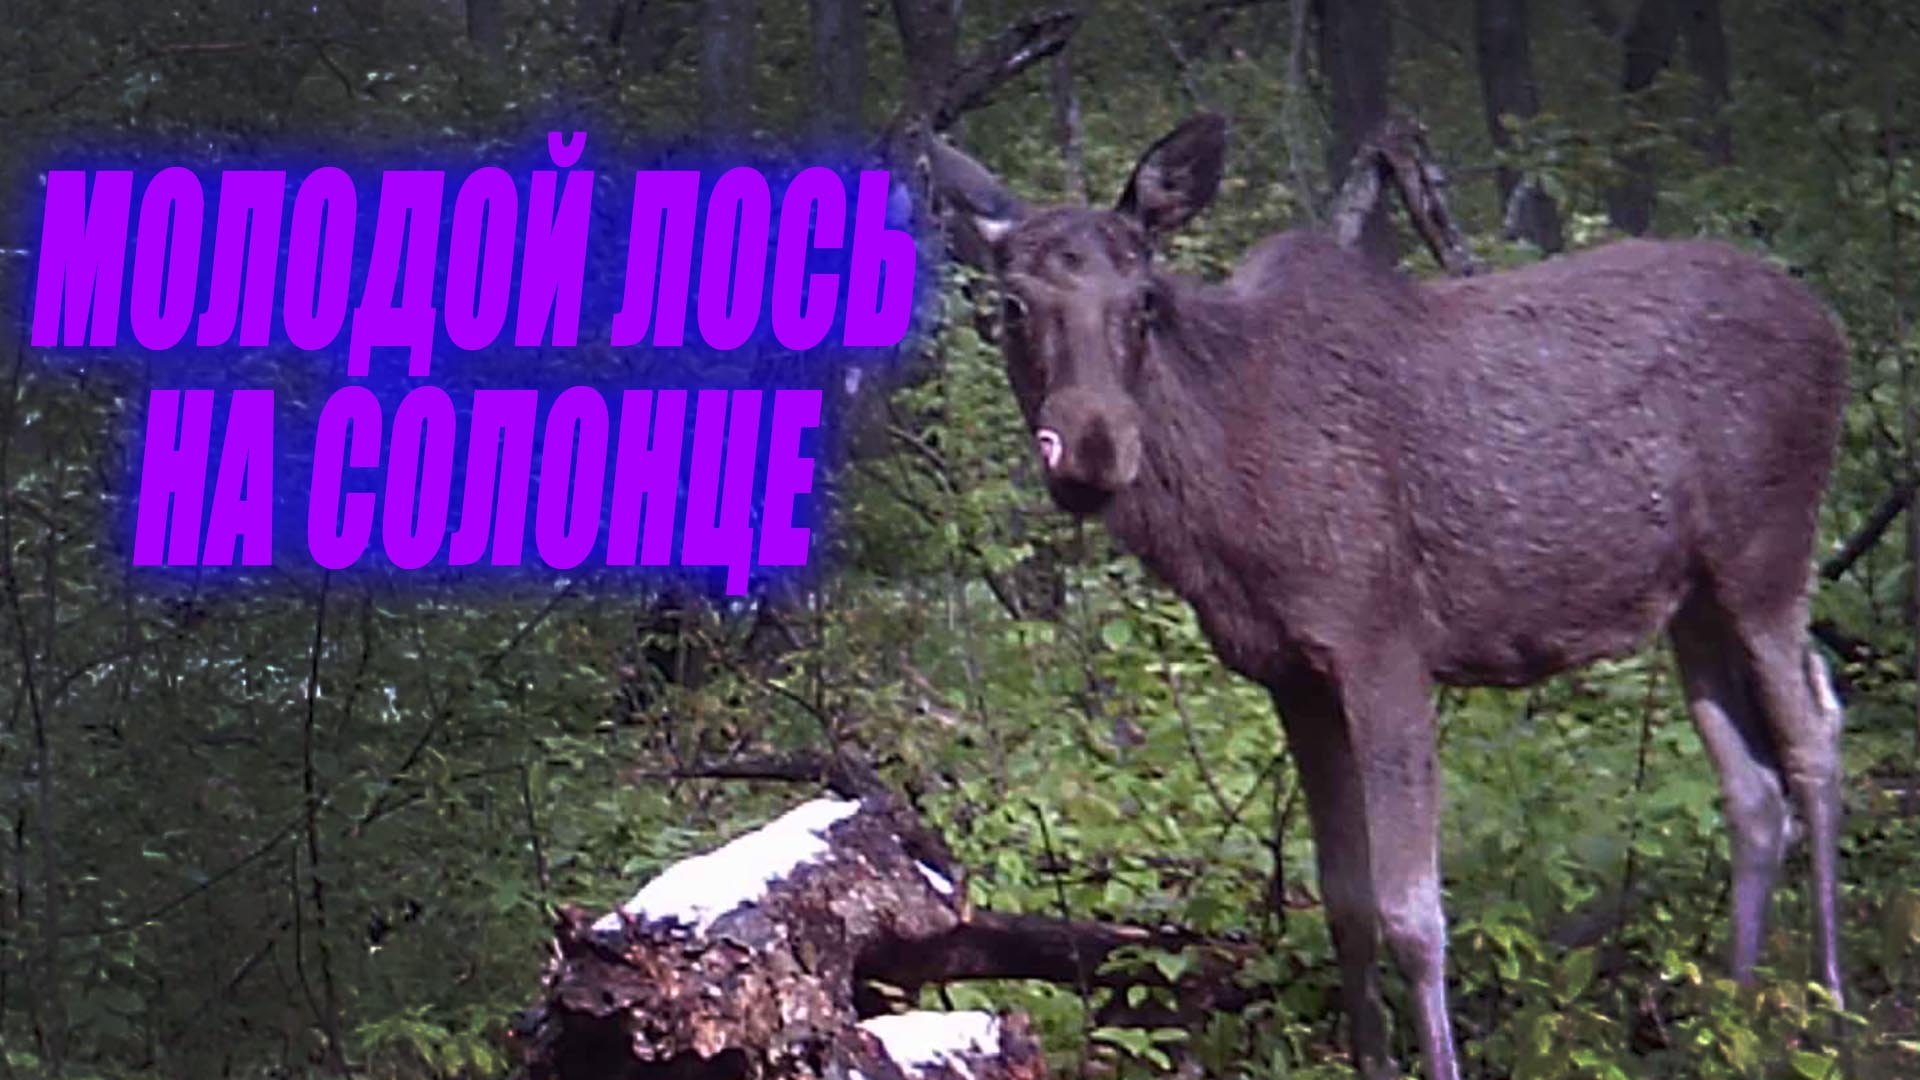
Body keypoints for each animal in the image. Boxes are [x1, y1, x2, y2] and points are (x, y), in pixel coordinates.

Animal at [927, 114, 1848, 1079]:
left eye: (1143, 300)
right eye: (1012, 304)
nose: (1093, 449)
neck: (1224, 501)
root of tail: (1831, 327)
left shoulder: (1384, 646)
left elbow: (1413, 912)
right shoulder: (1290, 675)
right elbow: (1344, 904)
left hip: (1768, 556)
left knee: (1815, 739)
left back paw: (1832, 1005)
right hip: (1691, 601)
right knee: (1753, 789)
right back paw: (1733, 1013)